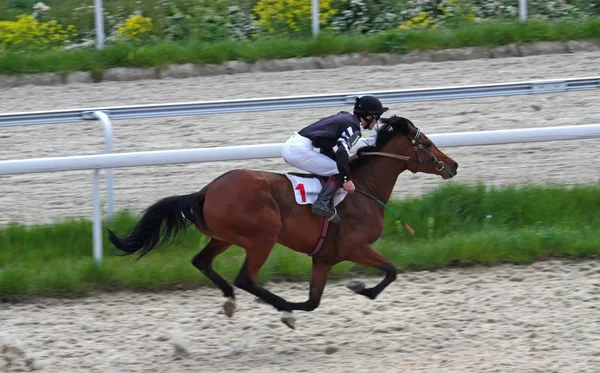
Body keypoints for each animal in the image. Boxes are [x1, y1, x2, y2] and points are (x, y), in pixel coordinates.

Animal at [108, 115, 458, 326]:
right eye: (427, 143)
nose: (453, 165)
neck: (365, 188)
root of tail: (205, 191)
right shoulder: (354, 247)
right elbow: (392, 270)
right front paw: (361, 288)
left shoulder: (324, 258)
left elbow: (314, 301)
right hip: (263, 236)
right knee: (245, 278)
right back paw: (278, 306)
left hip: (223, 236)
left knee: (201, 262)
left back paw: (234, 301)